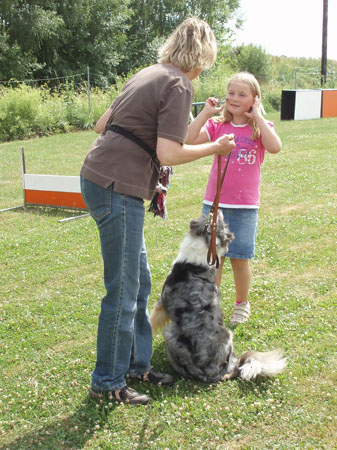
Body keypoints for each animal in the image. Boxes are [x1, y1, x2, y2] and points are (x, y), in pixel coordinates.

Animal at [150, 213, 286, 382]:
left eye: (219, 222)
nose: (218, 211)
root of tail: (216, 372)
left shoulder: (161, 304)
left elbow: (150, 319)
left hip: (170, 333)